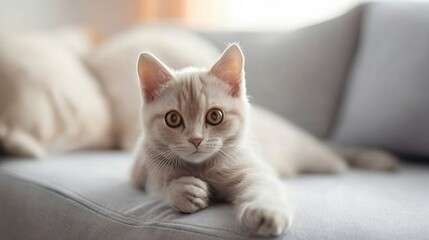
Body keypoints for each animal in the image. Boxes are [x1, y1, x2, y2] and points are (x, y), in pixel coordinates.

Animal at [131, 43, 398, 236]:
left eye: (215, 116)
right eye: (173, 119)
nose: (196, 140)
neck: (202, 167)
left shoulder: (252, 167)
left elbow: (263, 185)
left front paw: (266, 213)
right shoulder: (141, 170)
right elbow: (156, 184)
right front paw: (182, 190)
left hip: (319, 157)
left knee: (337, 153)